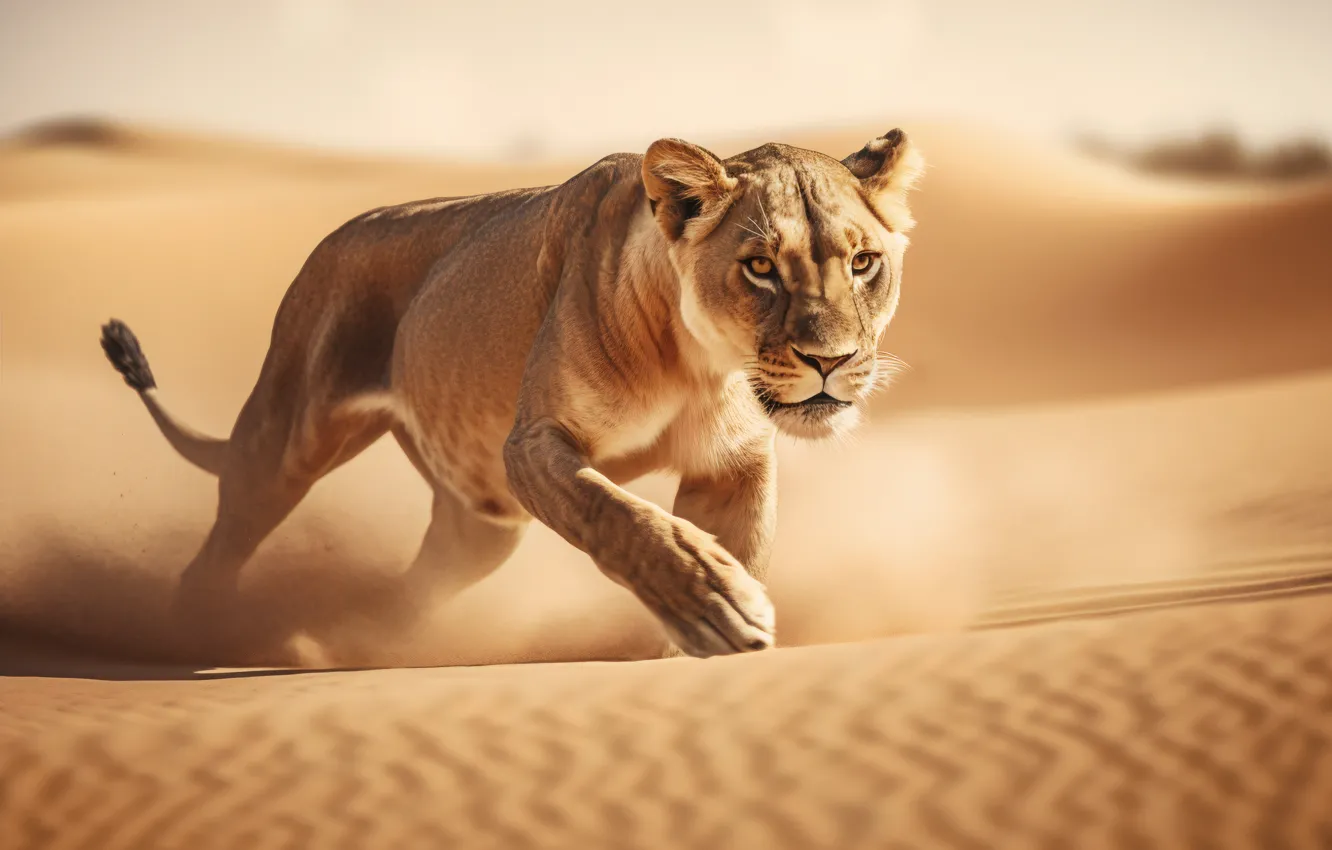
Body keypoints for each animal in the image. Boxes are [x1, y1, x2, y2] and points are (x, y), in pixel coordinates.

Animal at [100, 129, 924, 659]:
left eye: (862, 263)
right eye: (759, 268)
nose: (831, 360)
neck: (700, 368)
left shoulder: (733, 464)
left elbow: (736, 545)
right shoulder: (530, 444)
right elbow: (621, 516)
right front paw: (715, 608)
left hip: (478, 527)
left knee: (410, 594)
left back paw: (348, 650)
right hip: (283, 442)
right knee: (215, 554)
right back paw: (190, 639)